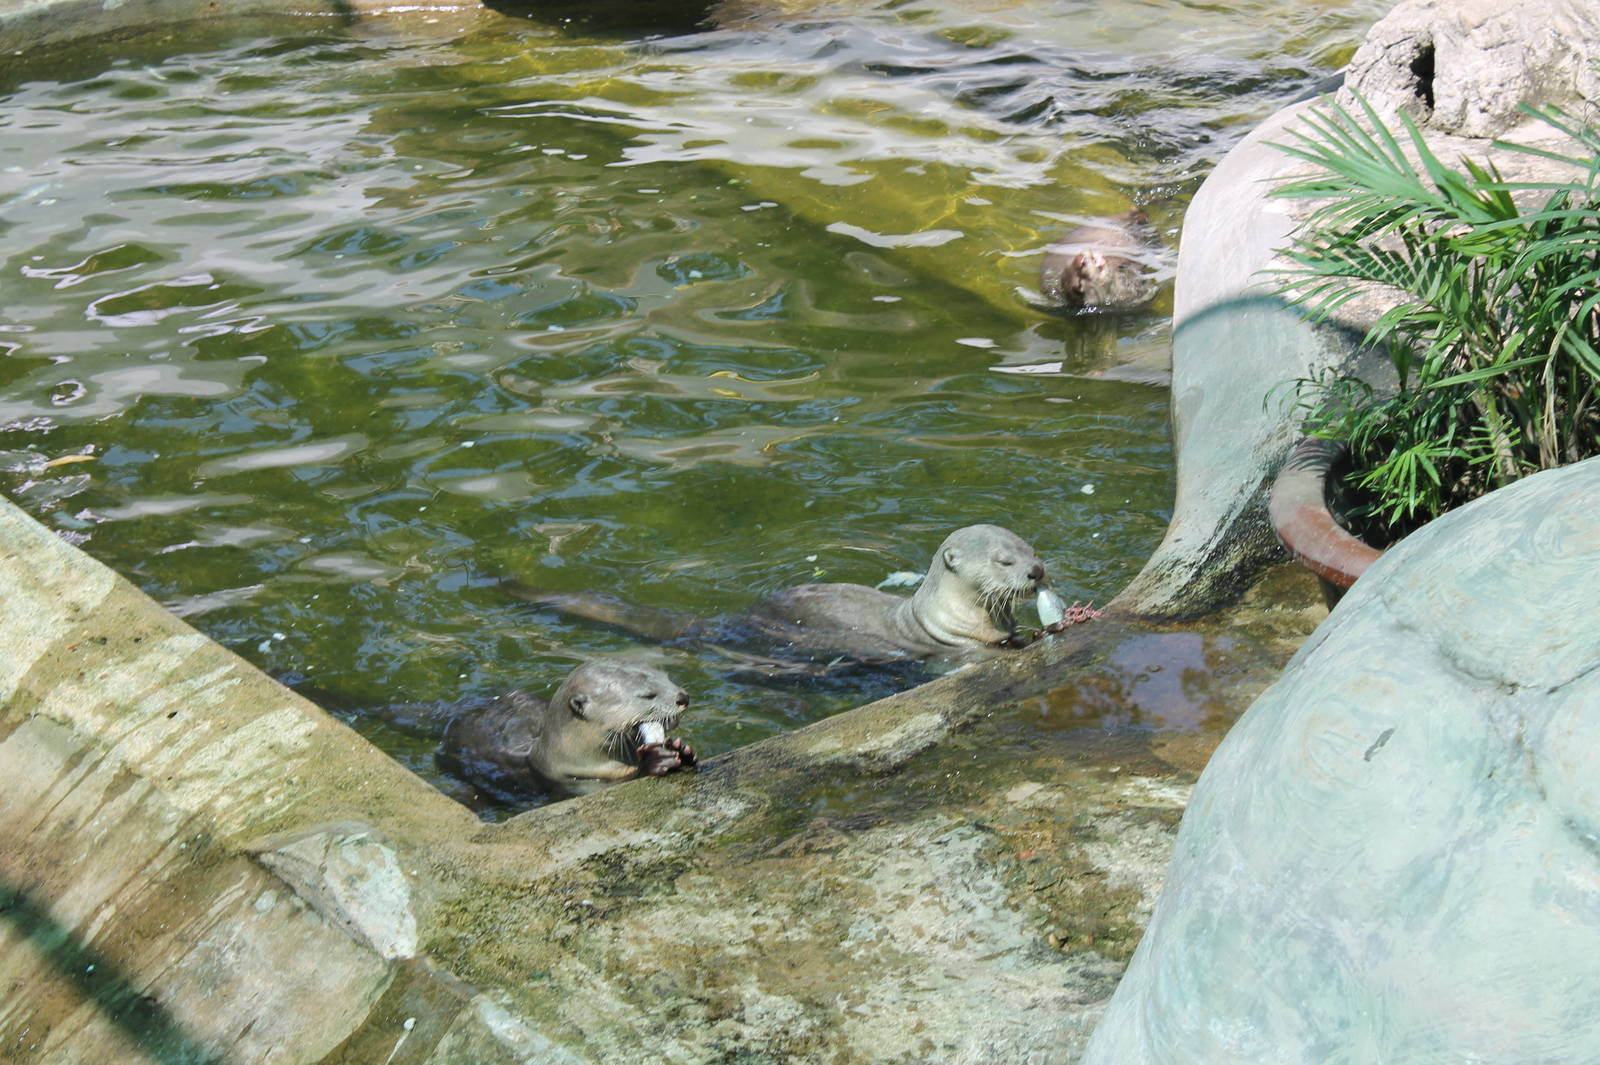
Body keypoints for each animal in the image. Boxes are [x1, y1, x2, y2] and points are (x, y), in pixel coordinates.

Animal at [437, 661, 695, 800]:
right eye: (647, 695)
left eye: (666, 677)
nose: (684, 697)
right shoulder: (570, 781)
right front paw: (654, 761)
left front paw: (682, 750)